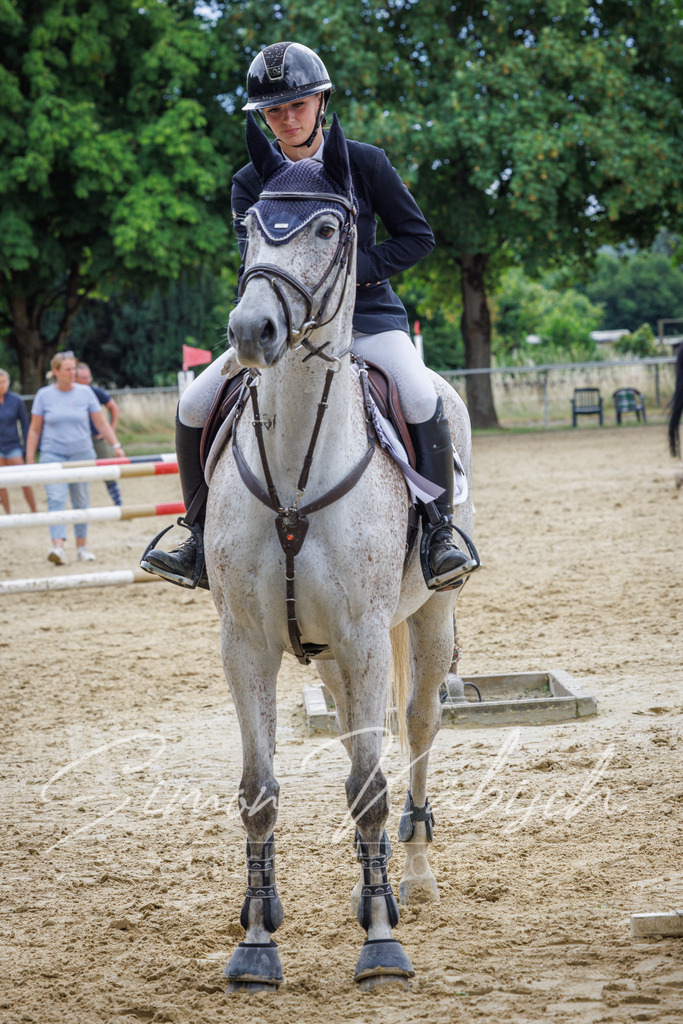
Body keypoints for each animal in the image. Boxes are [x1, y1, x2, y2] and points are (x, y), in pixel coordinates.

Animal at [204, 112, 478, 992]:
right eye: (250, 225)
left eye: (328, 228)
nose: (250, 332)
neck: (297, 464)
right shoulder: (247, 644)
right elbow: (260, 791)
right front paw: (257, 939)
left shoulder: (362, 637)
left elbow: (369, 788)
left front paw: (382, 941)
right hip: (323, 650)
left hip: (424, 618)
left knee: (415, 730)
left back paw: (413, 878)